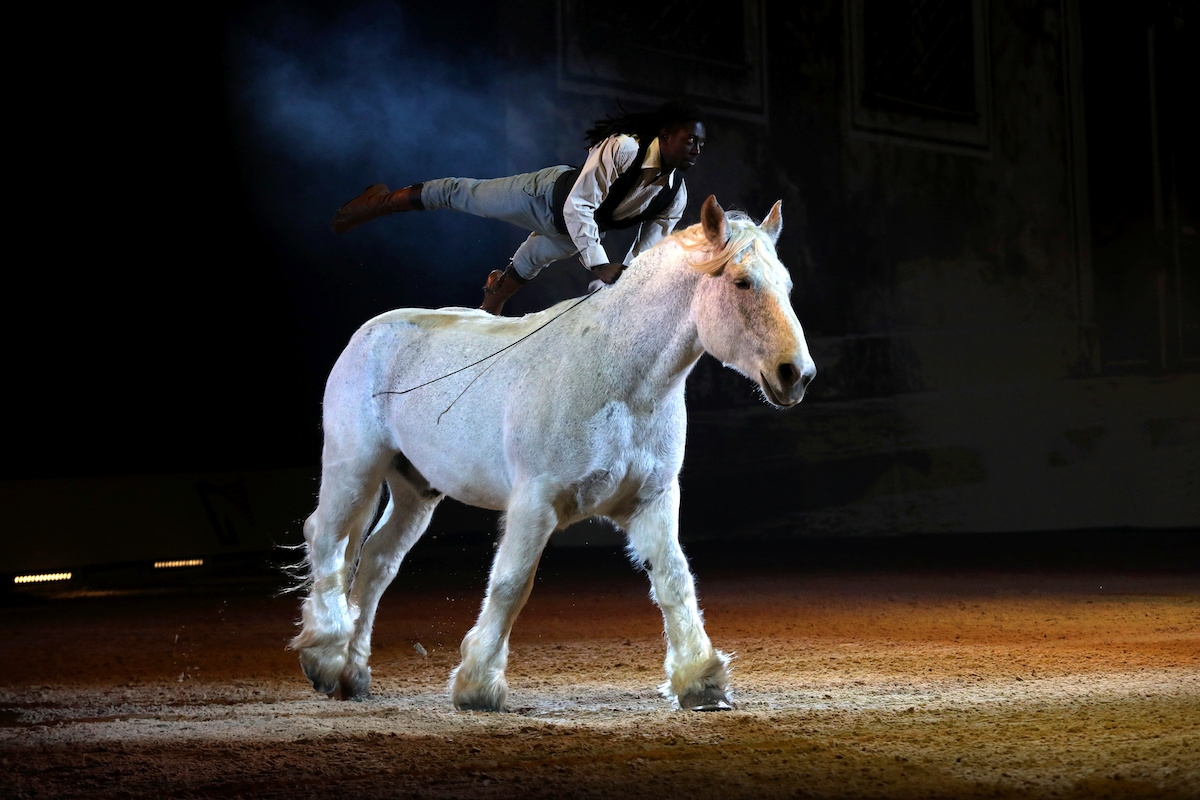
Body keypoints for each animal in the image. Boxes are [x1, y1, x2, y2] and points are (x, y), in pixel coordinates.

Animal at [290, 195, 815, 711]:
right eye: (742, 282)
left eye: (788, 286)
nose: (797, 374)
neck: (617, 378)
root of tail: (369, 332)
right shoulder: (534, 503)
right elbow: (511, 583)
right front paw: (477, 684)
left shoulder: (652, 499)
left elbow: (673, 578)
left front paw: (701, 681)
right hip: (355, 466)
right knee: (327, 537)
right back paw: (324, 658)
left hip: (415, 489)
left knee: (378, 560)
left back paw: (353, 673)